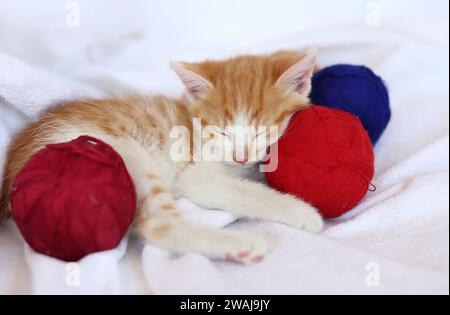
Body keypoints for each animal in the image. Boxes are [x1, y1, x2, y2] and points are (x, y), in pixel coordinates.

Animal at [0, 48, 324, 264]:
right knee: (159, 225)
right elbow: (240, 191)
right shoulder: (196, 174)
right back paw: (239, 245)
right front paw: (300, 210)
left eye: (261, 132)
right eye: (221, 132)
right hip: (125, 152)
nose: (241, 156)